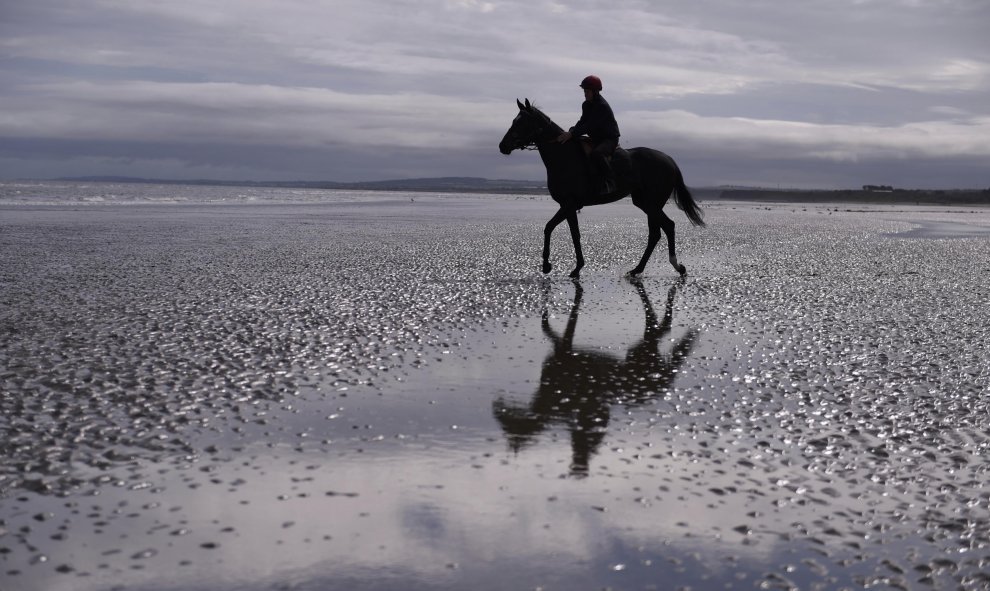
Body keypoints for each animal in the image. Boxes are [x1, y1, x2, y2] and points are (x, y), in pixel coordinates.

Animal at [496, 98, 704, 278]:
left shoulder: (569, 205)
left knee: (667, 227)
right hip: (645, 202)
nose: (502, 146)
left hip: (652, 203)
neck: (564, 157)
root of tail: (669, 160)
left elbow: (569, 233)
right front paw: (551, 265)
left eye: (522, 123)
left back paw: (675, 266)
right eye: (514, 121)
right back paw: (638, 269)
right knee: (656, 233)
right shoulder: (567, 205)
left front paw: (571, 267)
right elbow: (553, 229)